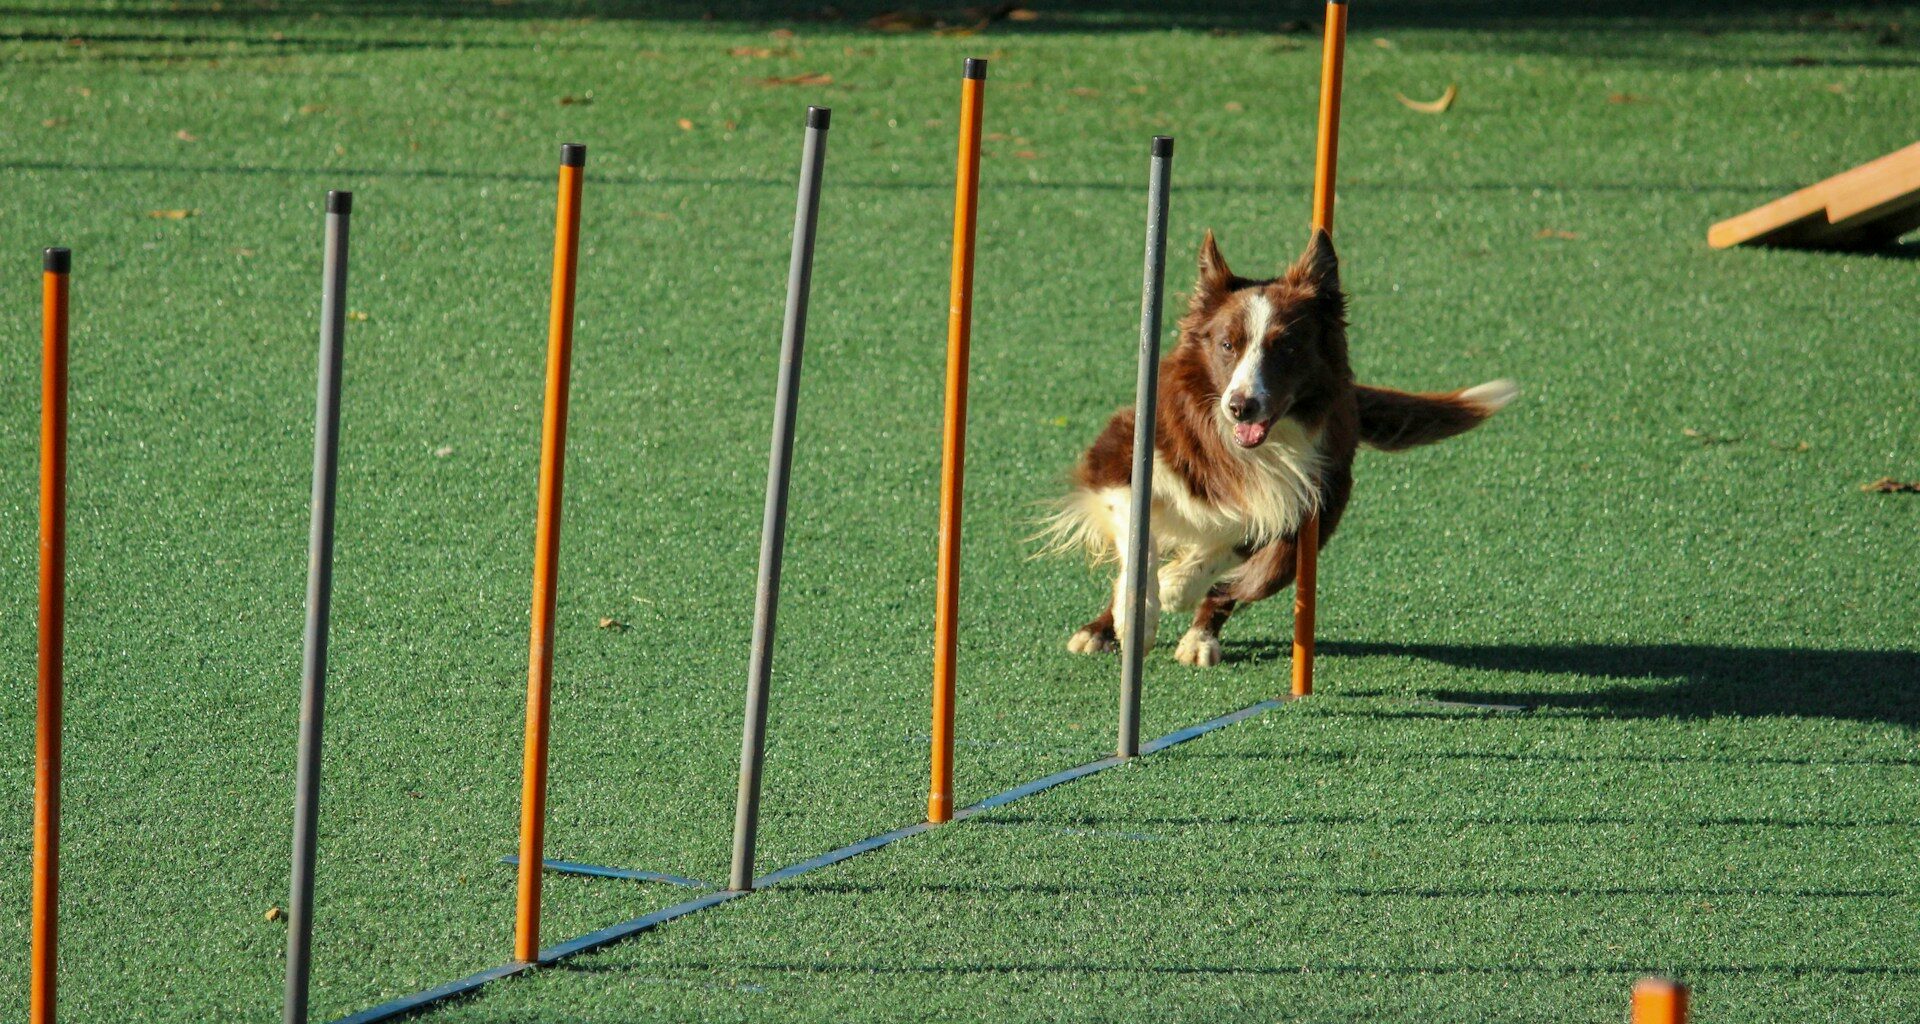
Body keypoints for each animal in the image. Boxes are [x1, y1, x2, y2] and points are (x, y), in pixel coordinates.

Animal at [1044, 227, 1520, 668]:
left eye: (1286, 347)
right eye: (1227, 344)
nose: (1241, 407)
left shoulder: (1292, 500)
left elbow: (1222, 553)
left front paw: (1178, 584)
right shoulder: (1119, 453)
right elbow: (1138, 544)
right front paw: (1137, 615)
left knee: (1235, 585)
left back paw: (1199, 637)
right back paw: (1100, 631)